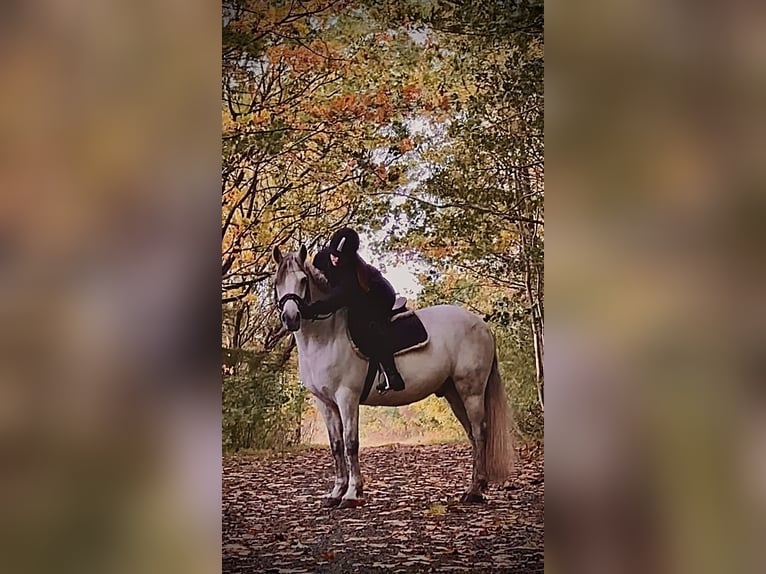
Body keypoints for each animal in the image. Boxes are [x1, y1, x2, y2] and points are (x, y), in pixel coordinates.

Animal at [272, 246, 516, 508]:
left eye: (303, 280)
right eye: (277, 282)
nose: (291, 317)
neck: (326, 337)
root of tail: (482, 324)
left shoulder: (347, 397)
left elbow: (351, 444)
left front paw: (352, 493)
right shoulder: (325, 403)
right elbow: (336, 446)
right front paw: (336, 492)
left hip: (471, 391)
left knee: (480, 432)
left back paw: (474, 492)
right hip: (453, 392)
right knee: (473, 433)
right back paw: (476, 486)